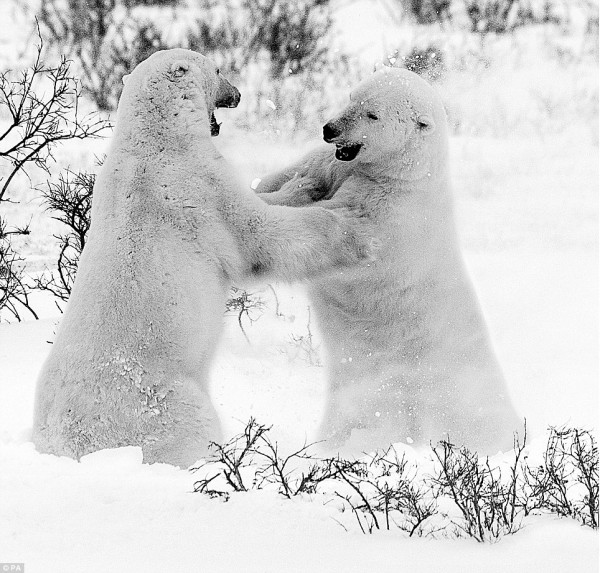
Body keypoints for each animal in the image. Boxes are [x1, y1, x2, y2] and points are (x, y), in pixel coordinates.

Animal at [34, 49, 370, 466]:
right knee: (191, 425)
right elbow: (259, 235)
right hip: (162, 402)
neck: (157, 138)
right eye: (219, 69)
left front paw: (301, 183)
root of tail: (65, 444)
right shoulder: (198, 188)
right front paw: (349, 228)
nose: (237, 93)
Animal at [256, 66, 520, 452]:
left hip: (437, 391)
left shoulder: (385, 211)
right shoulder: (333, 164)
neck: (404, 174)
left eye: (373, 115)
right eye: (351, 96)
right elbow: (290, 175)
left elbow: (335, 227)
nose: (330, 129)